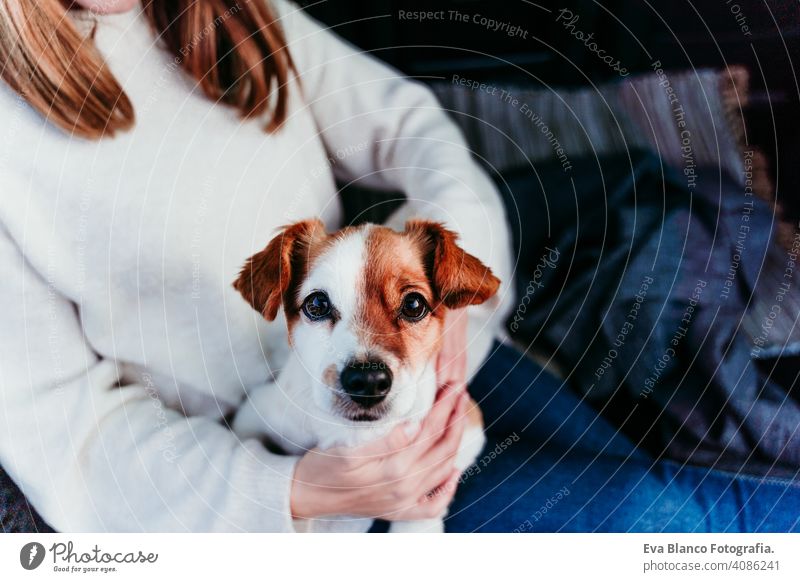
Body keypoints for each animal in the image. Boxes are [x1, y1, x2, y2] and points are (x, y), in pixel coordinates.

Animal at [228, 219, 500, 532]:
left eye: (414, 305)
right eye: (317, 304)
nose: (368, 381)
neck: (354, 435)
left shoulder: (467, 428)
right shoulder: (254, 414)